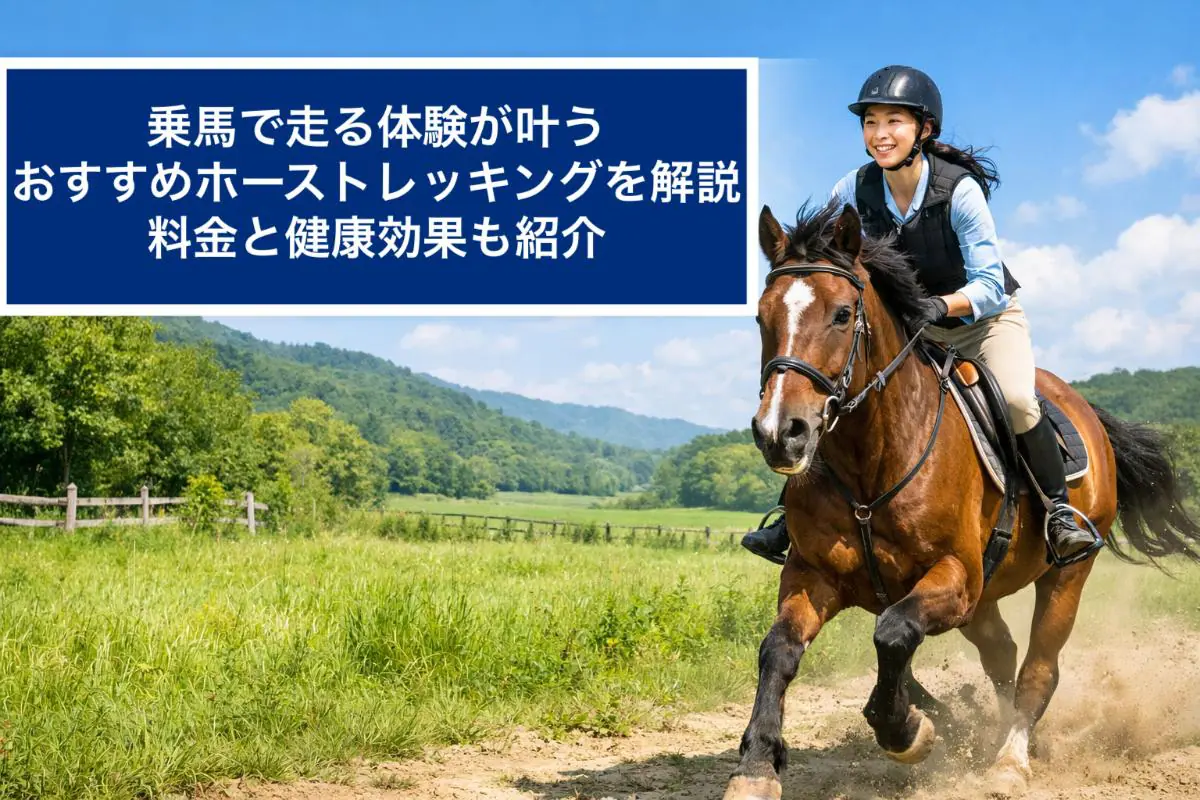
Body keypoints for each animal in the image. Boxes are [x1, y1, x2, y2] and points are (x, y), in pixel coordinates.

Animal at [723, 201, 1200, 800]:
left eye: (841, 315)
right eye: (762, 319)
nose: (780, 433)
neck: (870, 462)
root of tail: (1084, 408)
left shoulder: (955, 576)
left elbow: (893, 635)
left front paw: (907, 732)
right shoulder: (814, 574)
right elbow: (779, 651)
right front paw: (756, 767)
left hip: (1062, 575)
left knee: (1039, 666)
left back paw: (1010, 760)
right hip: (986, 594)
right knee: (1002, 655)